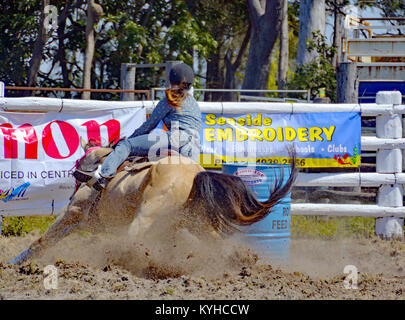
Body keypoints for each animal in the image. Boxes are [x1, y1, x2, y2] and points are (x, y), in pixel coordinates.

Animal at [6, 139, 296, 266]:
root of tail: (196, 173)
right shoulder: (81, 222)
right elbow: (46, 243)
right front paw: (16, 262)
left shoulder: (72, 212)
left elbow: (42, 239)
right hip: (196, 224)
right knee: (216, 243)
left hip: (147, 216)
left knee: (132, 240)